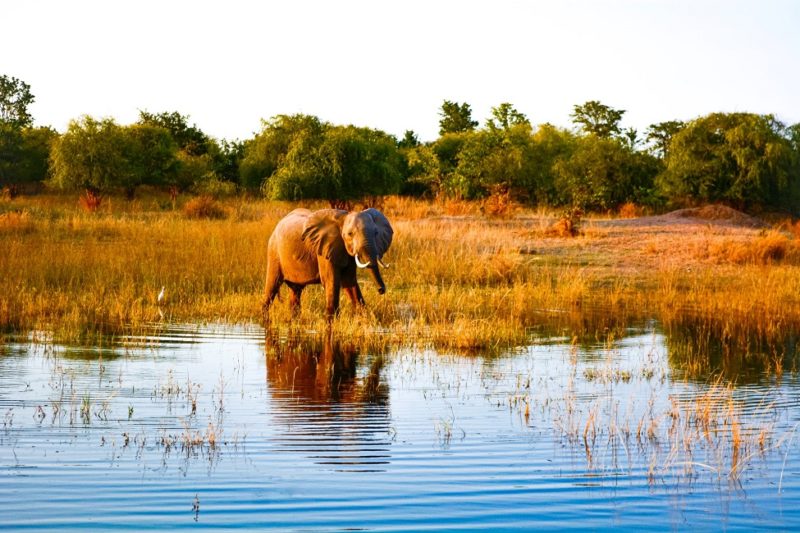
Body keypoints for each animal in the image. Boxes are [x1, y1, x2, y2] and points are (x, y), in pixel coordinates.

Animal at [262, 206, 394, 318]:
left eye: (376, 233)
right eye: (350, 234)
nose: (381, 290)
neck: (343, 218)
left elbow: (349, 281)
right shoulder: (324, 249)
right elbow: (331, 281)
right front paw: (332, 321)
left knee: (295, 292)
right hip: (274, 252)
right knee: (272, 287)